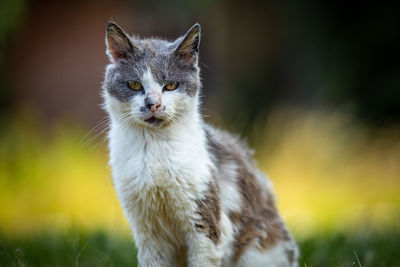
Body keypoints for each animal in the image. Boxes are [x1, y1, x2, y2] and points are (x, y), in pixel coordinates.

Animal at [101, 21, 298, 267]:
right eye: (135, 85)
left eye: (171, 85)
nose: (153, 104)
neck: (154, 149)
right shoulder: (147, 232)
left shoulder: (205, 222)